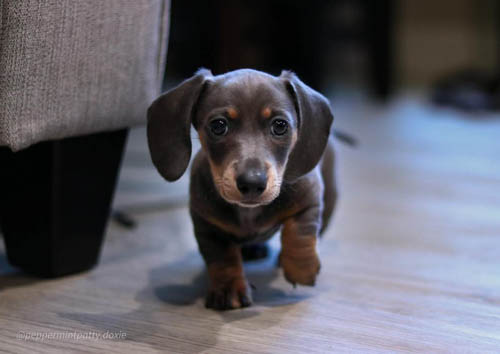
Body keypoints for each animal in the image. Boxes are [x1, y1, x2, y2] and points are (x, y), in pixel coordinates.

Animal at [146, 68, 338, 310]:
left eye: (280, 125)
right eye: (218, 125)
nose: (252, 182)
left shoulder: (310, 198)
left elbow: (300, 231)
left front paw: (301, 268)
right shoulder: (207, 225)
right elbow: (222, 258)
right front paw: (228, 289)